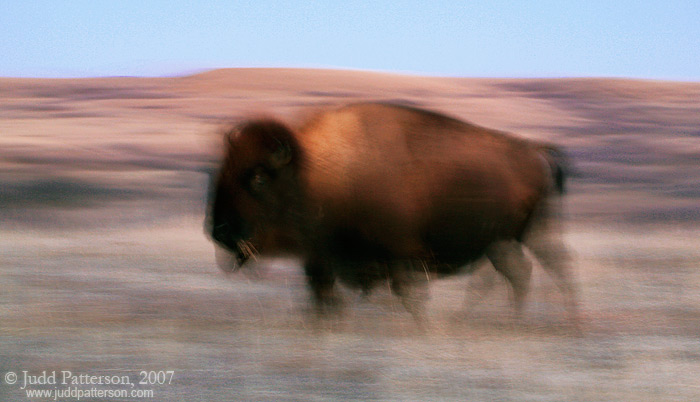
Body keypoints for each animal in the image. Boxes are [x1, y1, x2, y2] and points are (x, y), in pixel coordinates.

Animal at [205, 102, 576, 322]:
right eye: (222, 170)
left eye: (258, 176)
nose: (218, 231)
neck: (316, 173)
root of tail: (532, 149)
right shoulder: (323, 257)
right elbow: (322, 293)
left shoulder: (399, 255)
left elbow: (407, 294)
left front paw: (418, 326)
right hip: (505, 240)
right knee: (519, 273)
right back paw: (505, 317)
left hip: (527, 233)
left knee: (551, 266)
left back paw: (564, 319)